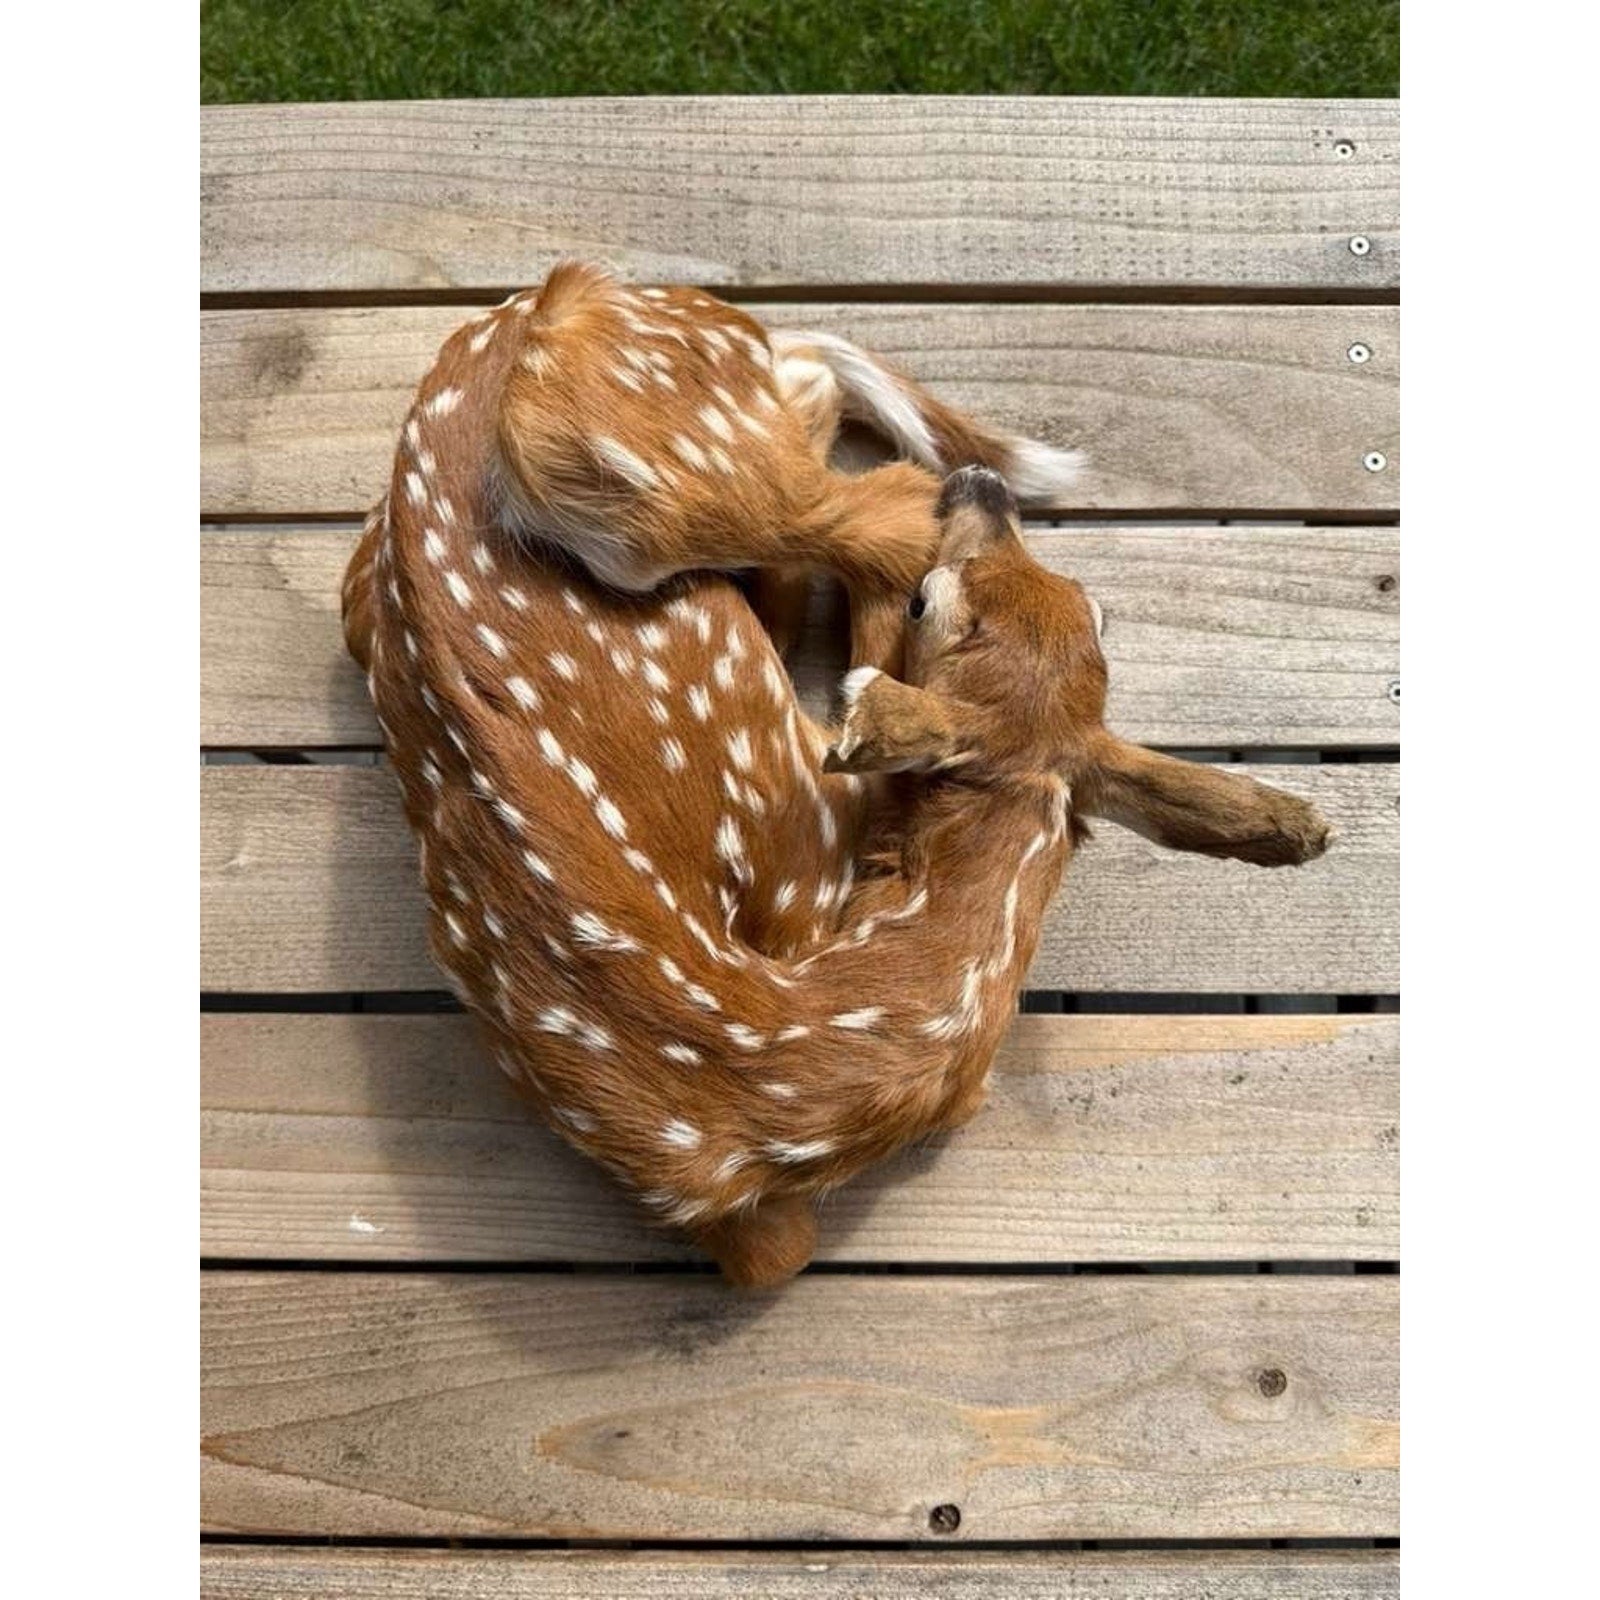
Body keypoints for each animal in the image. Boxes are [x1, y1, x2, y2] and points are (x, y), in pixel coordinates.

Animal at [342, 265, 1332, 1288]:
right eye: (941, 602)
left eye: (1094, 614)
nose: (987, 490)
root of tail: (561, 291)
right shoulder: (815, 816)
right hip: (612, 487)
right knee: (867, 484)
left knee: (842, 445)